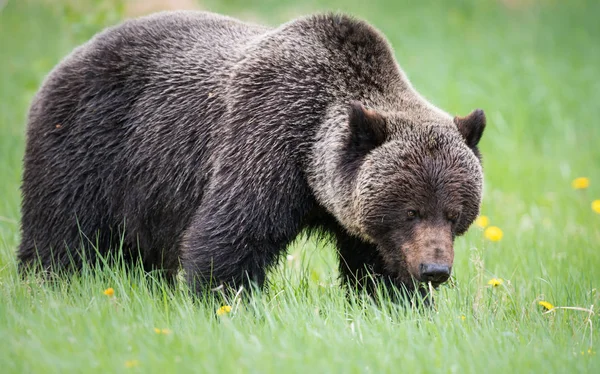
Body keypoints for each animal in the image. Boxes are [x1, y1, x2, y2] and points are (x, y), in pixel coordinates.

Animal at [17, 10, 488, 300]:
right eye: (411, 210)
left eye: (454, 213)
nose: (435, 270)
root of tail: (70, 58)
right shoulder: (266, 139)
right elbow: (231, 236)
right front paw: (226, 300)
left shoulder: (357, 217)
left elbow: (376, 265)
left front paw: (399, 301)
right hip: (90, 148)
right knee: (60, 231)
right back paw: (46, 284)